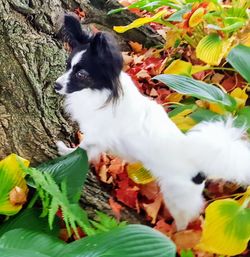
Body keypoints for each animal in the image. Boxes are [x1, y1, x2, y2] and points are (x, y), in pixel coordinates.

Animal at [55, 15, 250, 229]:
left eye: (81, 75)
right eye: (67, 66)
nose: (56, 85)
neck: (99, 93)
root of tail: (198, 162)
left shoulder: (97, 135)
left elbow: (82, 148)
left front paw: (66, 152)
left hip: (177, 196)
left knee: (186, 217)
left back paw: (174, 232)